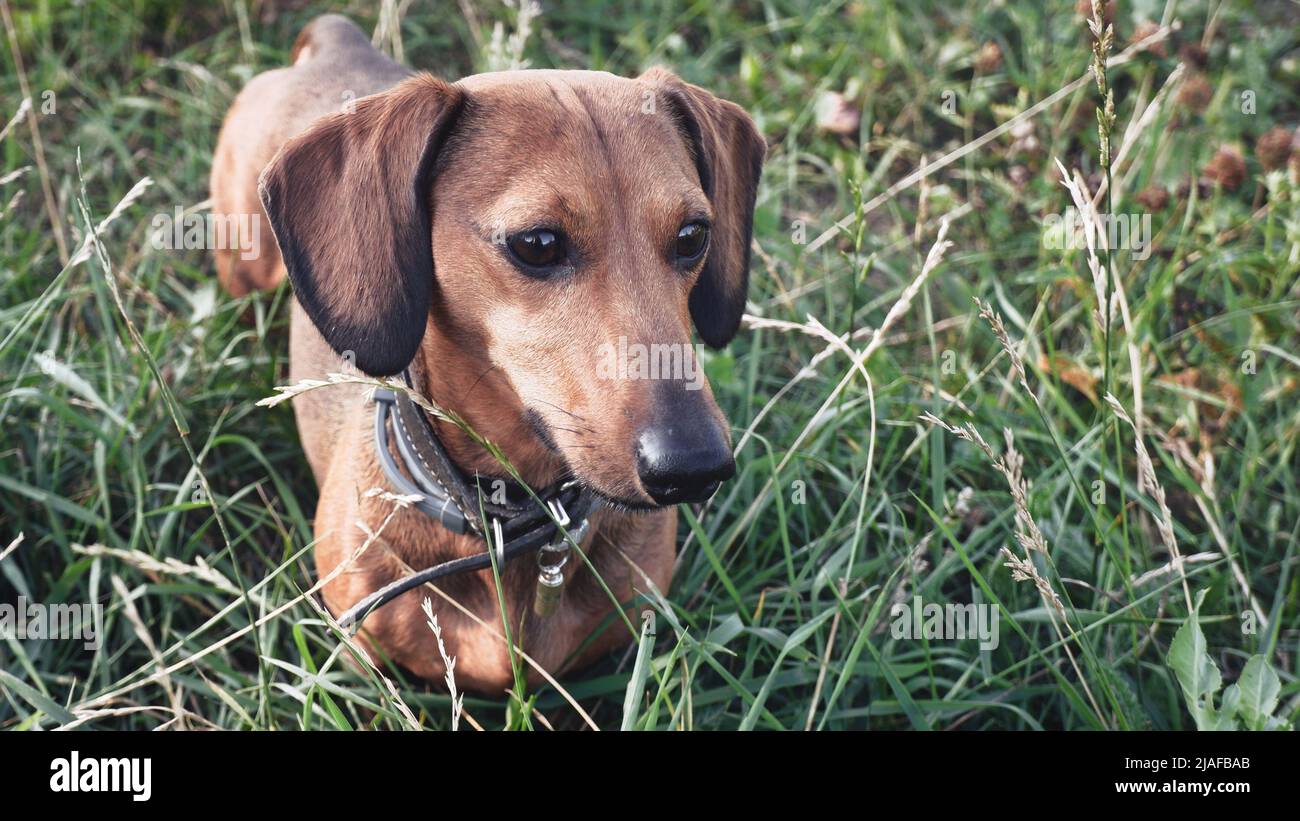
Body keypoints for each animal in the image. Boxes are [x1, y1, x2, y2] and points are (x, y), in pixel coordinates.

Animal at [209, 14, 764, 691]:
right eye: (538, 243)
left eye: (692, 235)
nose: (694, 467)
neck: (509, 521)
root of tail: (336, 39)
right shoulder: (362, 663)